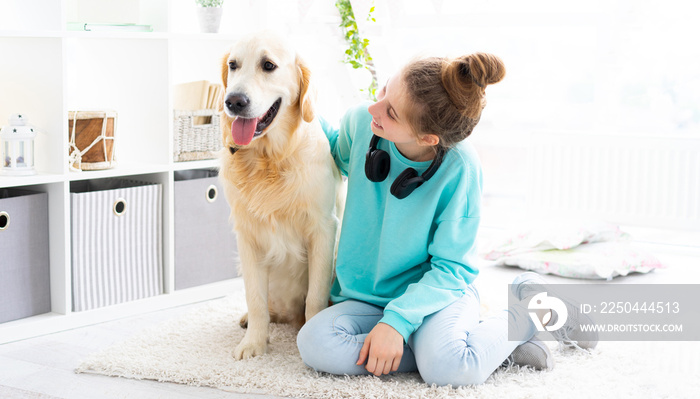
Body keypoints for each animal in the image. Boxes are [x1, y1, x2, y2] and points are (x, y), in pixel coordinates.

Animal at [217, 31, 340, 360]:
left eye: (268, 65)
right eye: (233, 65)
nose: (233, 101)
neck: (270, 160)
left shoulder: (322, 229)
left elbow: (315, 297)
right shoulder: (247, 235)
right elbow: (255, 298)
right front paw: (254, 344)